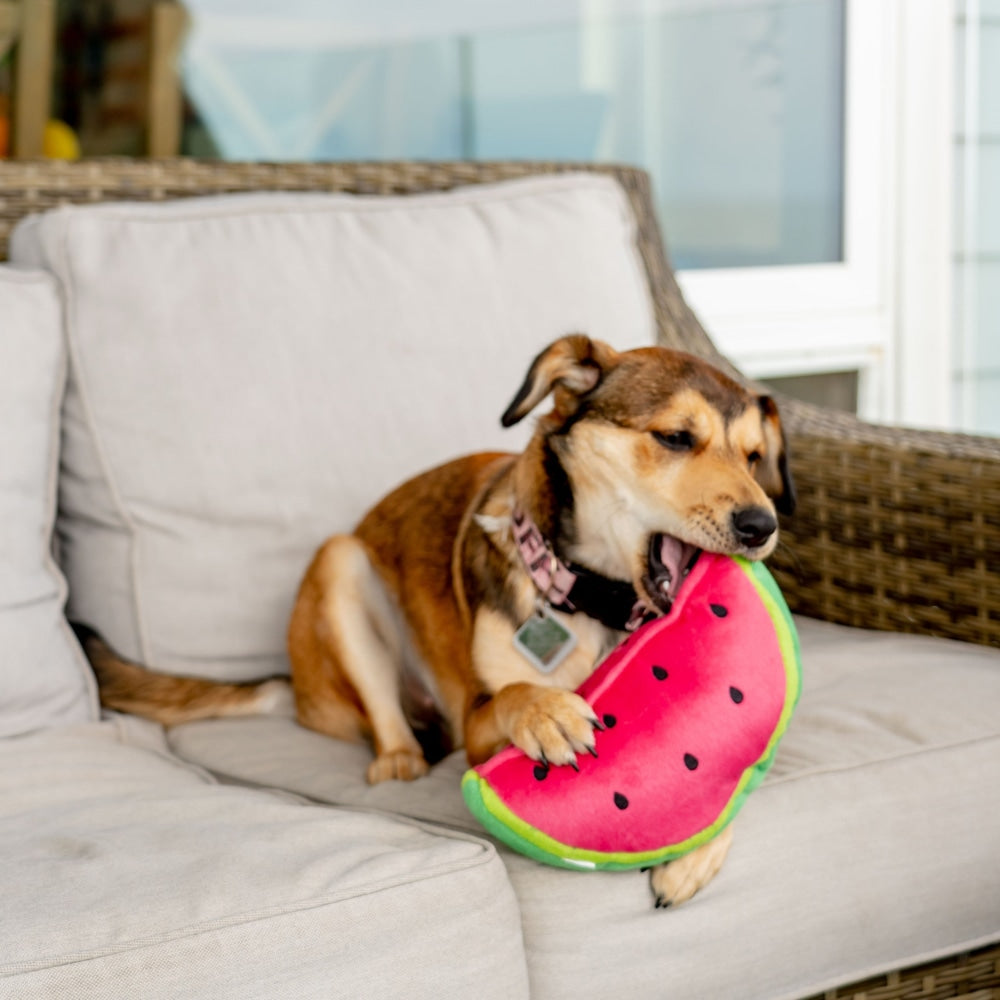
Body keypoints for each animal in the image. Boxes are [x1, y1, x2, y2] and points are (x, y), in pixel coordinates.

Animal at [76, 334, 796, 908]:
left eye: (754, 457)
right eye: (674, 438)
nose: (762, 526)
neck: (600, 601)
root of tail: (295, 687)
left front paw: (697, 844)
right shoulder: (478, 721)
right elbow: (512, 693)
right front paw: (547, 713)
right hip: (340, 566)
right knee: (388, 719)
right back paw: (401, 758)